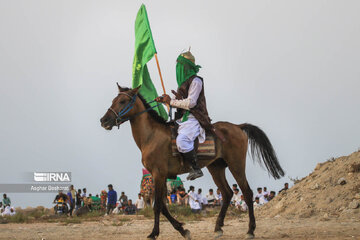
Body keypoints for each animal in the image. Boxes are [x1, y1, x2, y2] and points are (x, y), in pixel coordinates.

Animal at [99, 85, 284, 239]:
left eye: (122, 101)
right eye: (113, 100)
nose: (104, 120)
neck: (151, 136)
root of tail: (238, 127)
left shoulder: (159, 174)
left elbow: (158, 205)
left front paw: (154, 233)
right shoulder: (160, 176)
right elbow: (163, 206)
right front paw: (182, 229)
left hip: (236, 165)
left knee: (247, 193)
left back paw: (250, 230)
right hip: (216, 168)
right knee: (227, 193)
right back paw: (218, 228)